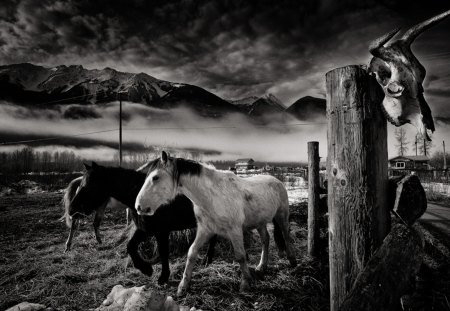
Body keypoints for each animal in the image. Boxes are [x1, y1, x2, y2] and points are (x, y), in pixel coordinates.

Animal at [67, 162, 218, 286]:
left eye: (88, 186)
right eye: (80, 185)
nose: (71, 210)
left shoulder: (161, 231)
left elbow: (163, 252)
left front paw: (163, 277)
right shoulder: (145, 229)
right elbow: (130, 246)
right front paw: (146, 269)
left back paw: (207, 259)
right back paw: (208, 259)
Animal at [134, 152, 296, 296]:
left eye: (155, 177)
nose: (139, 207)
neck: (211, 196)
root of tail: (277, 181)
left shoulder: (235, 230)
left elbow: (240, 255)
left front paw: (245, 284)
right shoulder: (205, 230)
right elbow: (191, 252)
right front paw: (183, 287)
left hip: (281, 216)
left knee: (286, 236)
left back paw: (292, 261)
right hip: (260, 222)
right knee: (265, 240)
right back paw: (261, 267)